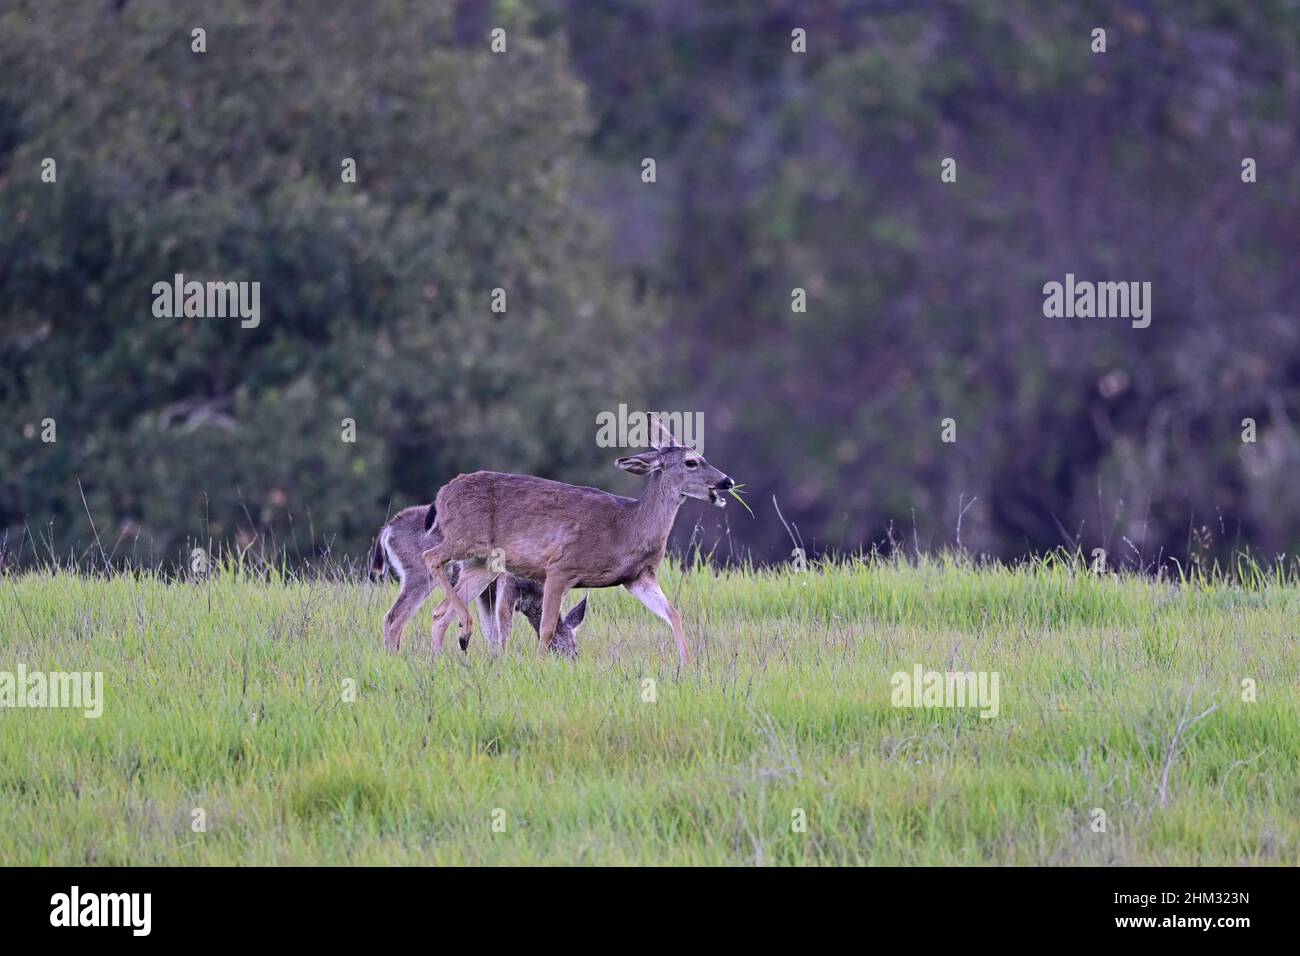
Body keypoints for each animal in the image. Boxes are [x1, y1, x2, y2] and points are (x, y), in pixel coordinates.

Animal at [369, 509, 587, 658]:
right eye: (571, 651)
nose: (571, 665)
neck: (534, 595)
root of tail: (388, 530)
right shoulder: (507, 585)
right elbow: (503, 628)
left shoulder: (487, 594)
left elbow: (490, 631)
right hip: (419, 574)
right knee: (394, 617)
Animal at [418, 426, 733, 665]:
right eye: (691, 462)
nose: (727, 481)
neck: (627, 527)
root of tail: (441, 494)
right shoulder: (559, 567)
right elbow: (547, 628)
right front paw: (539, 667)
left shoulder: (638, 577)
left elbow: (674, 614)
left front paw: (688, 666)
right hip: (465, 539)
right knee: (430, 557)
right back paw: (463, 631)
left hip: (484, 563)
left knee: (439, 612)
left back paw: (444, 654)